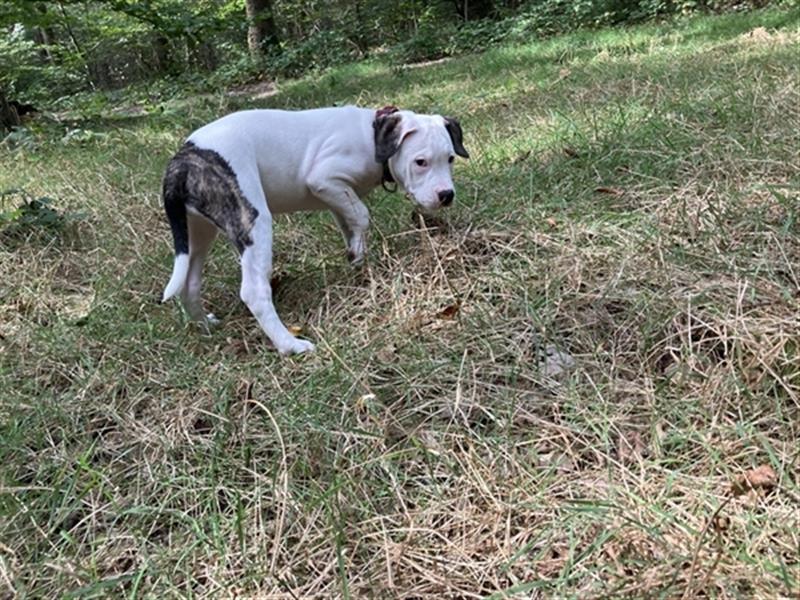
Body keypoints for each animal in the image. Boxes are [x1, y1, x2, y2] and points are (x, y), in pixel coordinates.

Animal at [160, 105, 468, 354]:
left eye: (451, 158)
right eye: (420, 162)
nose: (446, 195)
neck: (373, 135)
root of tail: (181, 161)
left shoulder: (337, 195)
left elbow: (350, 223)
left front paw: (357, 256)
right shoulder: (323, 178)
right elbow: (362, 215)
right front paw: (360, 252)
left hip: (198, 232)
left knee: (189, 284)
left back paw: (204, 324)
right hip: (252, 220)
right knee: (254, 292)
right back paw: (290, 345)